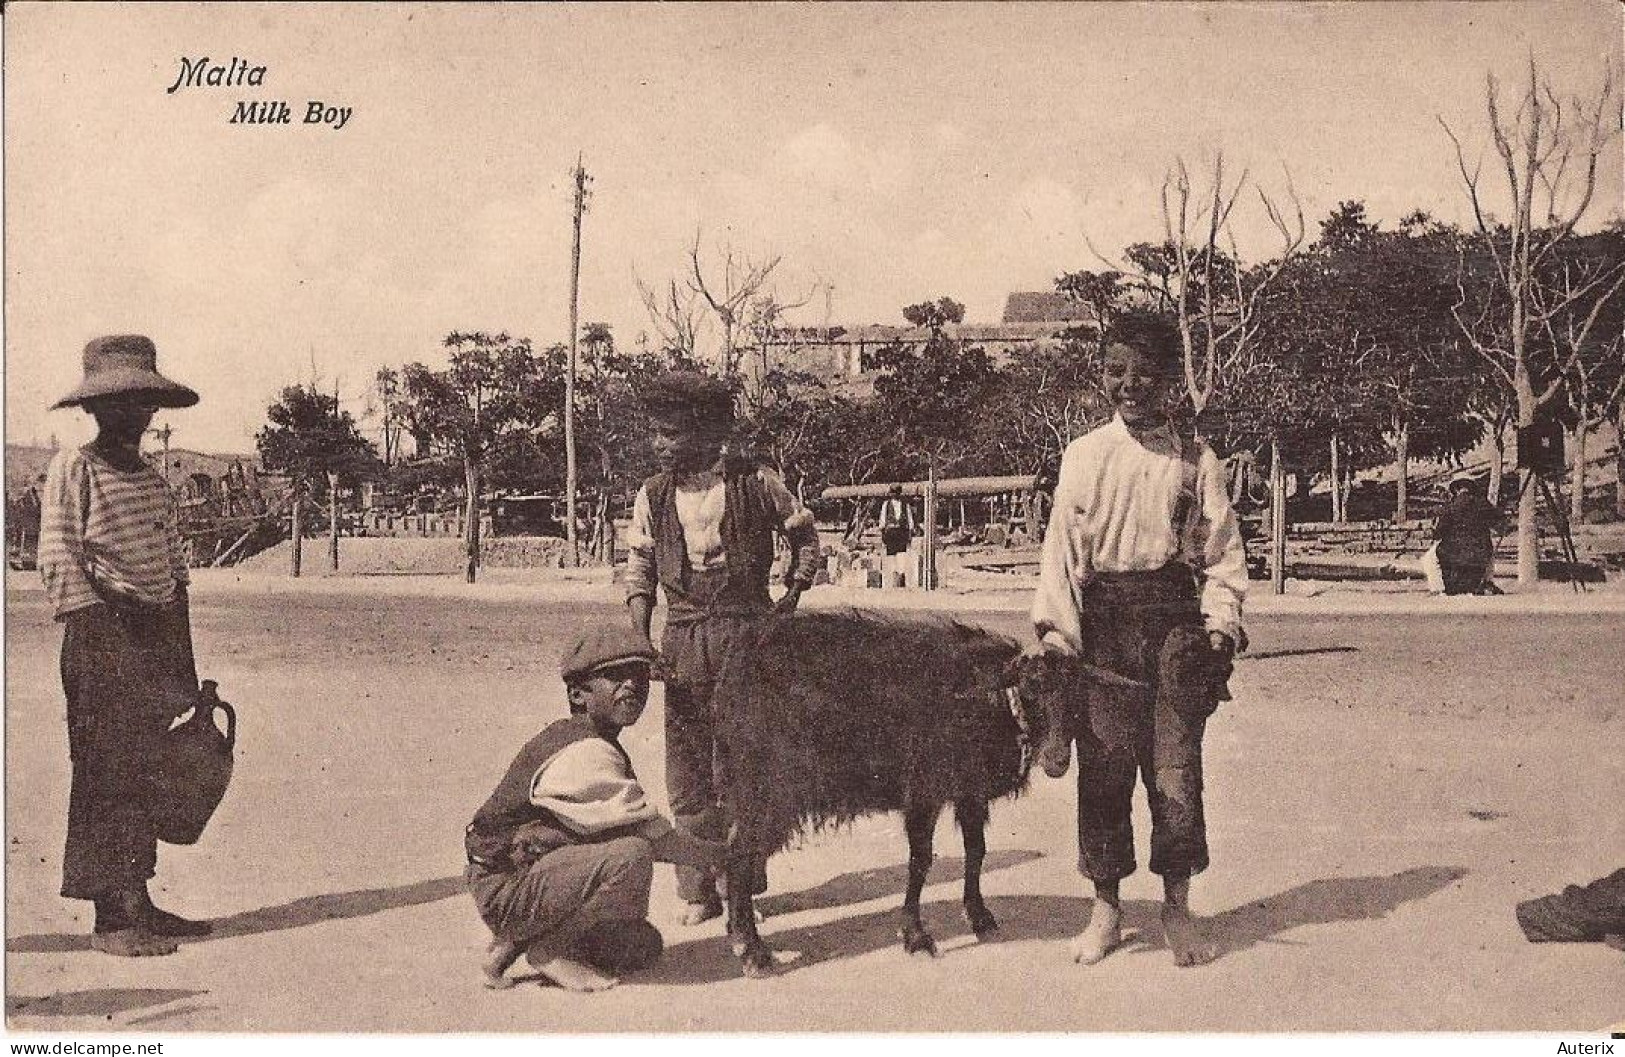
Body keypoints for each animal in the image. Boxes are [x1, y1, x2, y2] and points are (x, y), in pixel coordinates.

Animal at [708, 604, 1079, 975]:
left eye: (1076, 696)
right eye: (1031, 689)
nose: (1058, 760)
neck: (985, 696)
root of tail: (738, 663)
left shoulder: (969, 791)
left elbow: (976, 851)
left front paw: (979, 916)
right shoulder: (924, 794)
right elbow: (920, 861)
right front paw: (916, 936)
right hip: (767, 794)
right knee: (738, 859)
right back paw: (752, 950)